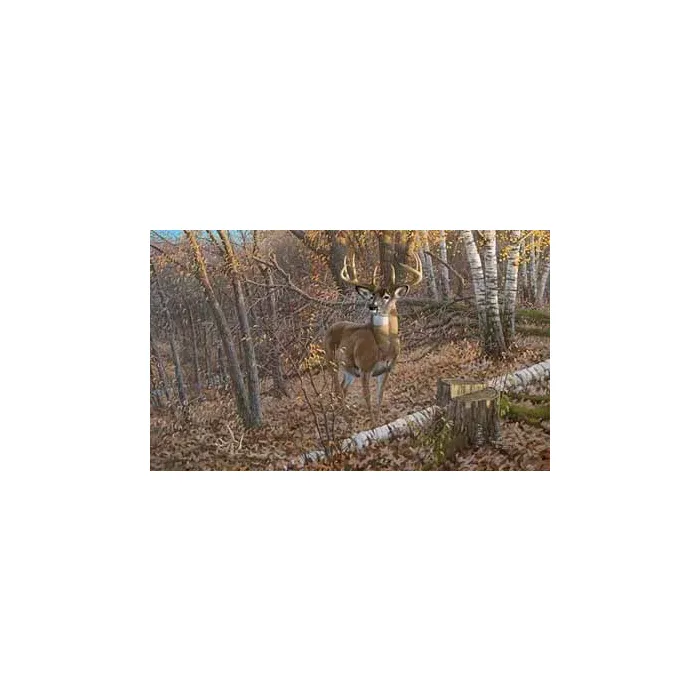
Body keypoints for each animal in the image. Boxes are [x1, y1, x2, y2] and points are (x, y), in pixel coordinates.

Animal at [324, 252, 423, 423]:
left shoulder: (387, 369)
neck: (383, 347)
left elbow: (379, 396)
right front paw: (373, 424)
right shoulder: (364, 368)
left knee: (343, 388)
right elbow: (368, 398)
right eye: (371, 296)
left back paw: (346, 416)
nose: (372, 307)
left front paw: (379, 419)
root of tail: (330, 327)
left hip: (349, 369)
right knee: (337, 390)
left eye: (387, 296)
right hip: (331, 362)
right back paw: (345, 419)